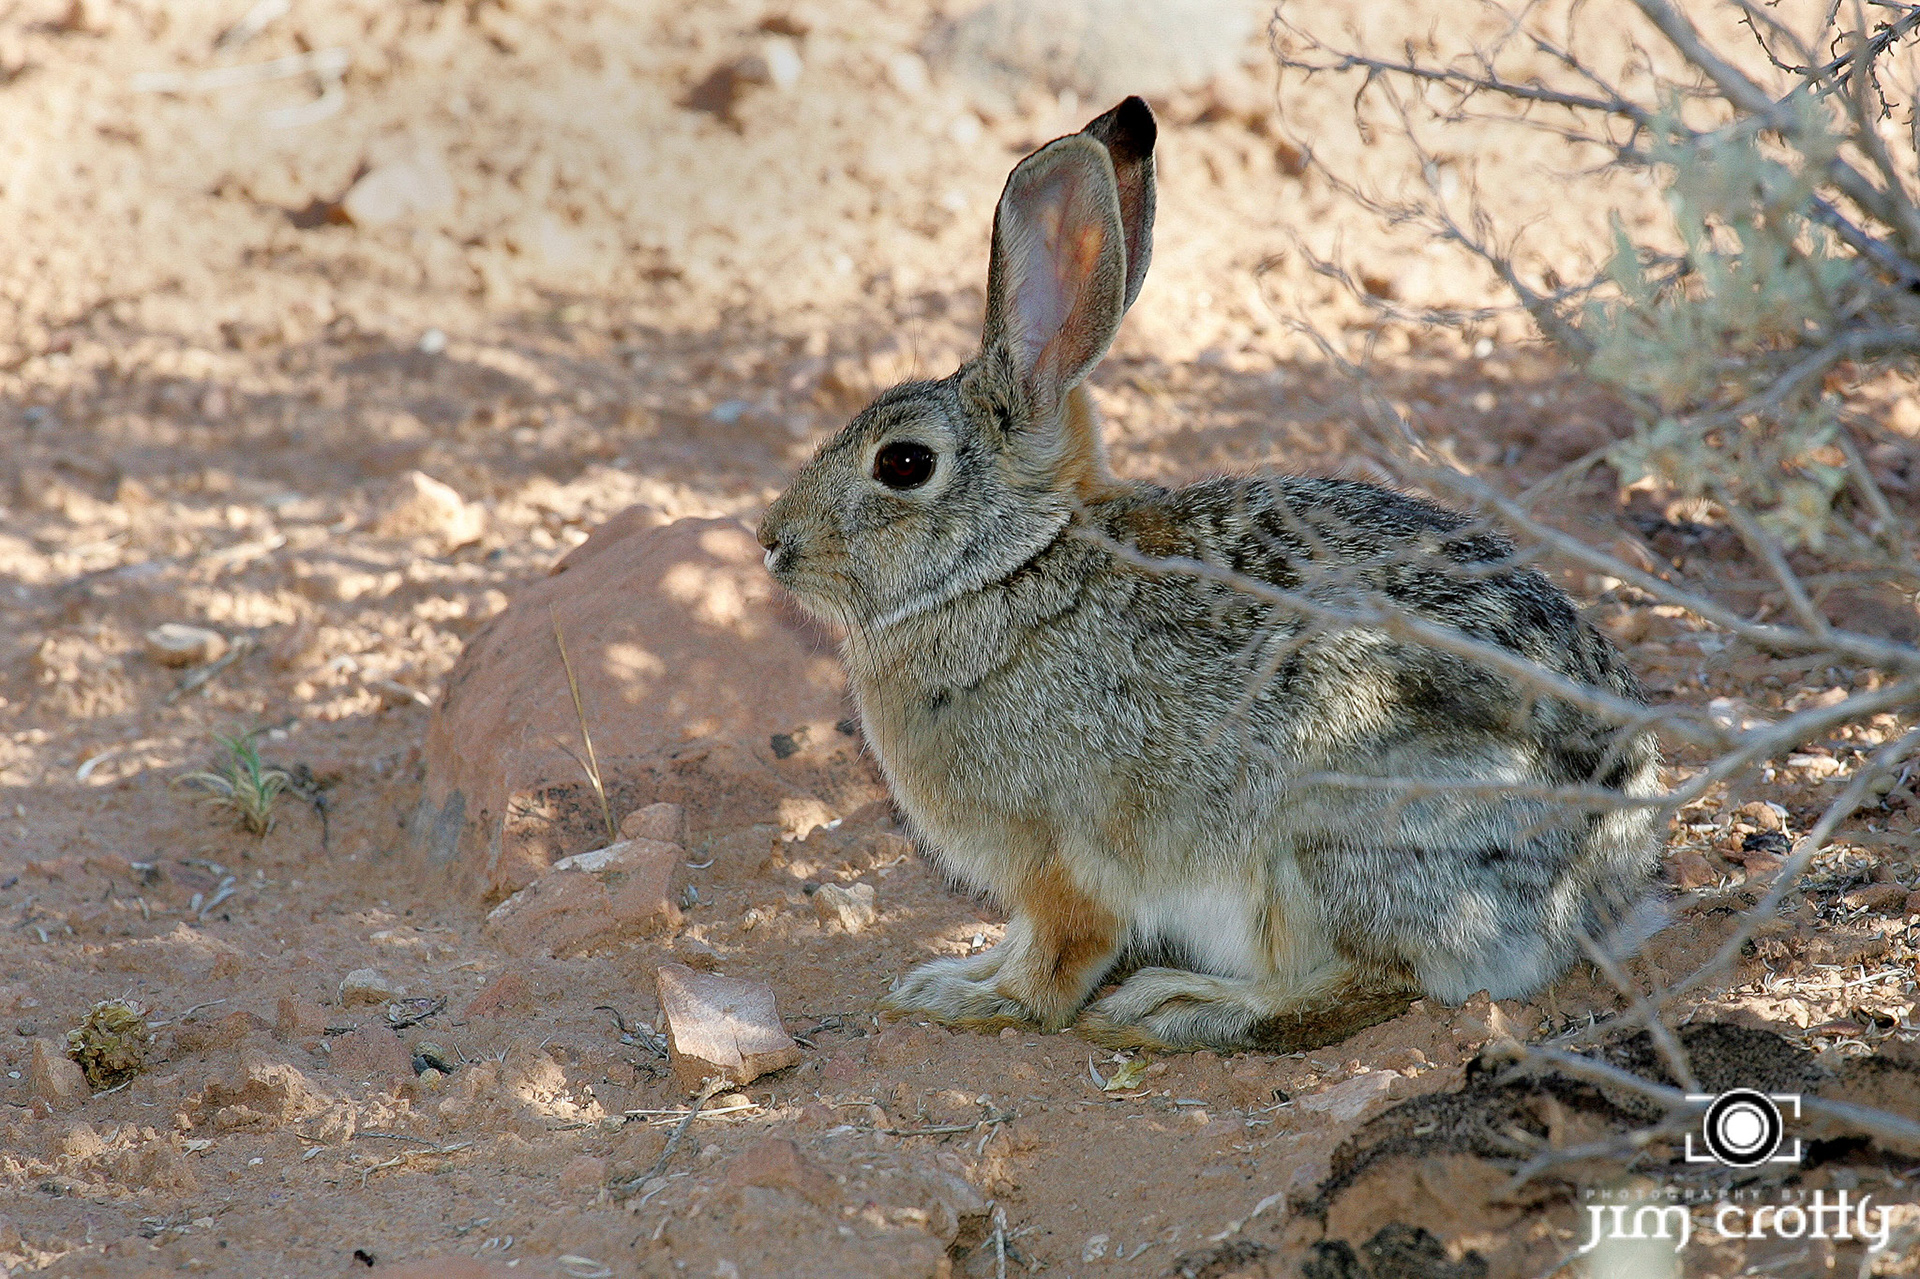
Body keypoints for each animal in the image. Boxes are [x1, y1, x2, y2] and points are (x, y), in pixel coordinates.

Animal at [757, 96, 1666, 1052]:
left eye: (903, 464)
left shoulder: (1061, 858)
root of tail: (1605, 882)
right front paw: (953, 973)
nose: (773, 542)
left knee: (1364, 983)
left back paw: (1178, 1006)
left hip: (1324, 839)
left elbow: (1060, 955)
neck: (1009, 565)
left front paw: (977, 1002)